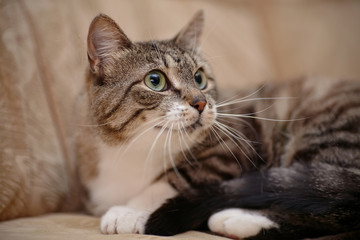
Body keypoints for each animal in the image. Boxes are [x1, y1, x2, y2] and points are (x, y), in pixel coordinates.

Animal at [78, 10, 360, 239]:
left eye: (199, 78)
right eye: (155, 80)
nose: (201, 102)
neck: (137, 151)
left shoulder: (233, 148)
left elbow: (177, 177)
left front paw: (130, 210)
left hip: (327, 128)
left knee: (337, 201)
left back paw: (238, 218)